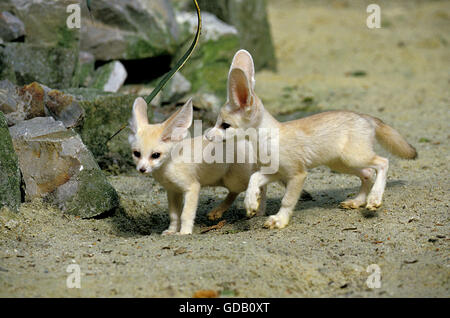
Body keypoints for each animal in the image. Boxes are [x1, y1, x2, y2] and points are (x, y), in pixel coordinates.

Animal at [128, 98, 266, 235]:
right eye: (136, 154)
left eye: (155, 155)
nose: (142, 169)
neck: (168, 165)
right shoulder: (173, 191)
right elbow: (174, 215)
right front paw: (172, 231)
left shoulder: (192, 187)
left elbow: (186, 214)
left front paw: (184, 232)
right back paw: (218, 211)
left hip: (234, 180)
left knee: (257, 185)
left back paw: (257, 208)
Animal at [207, 49, 418, 229]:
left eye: (225, 125)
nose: (208, 136)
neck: (267, 140)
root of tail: (365, 116)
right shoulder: (276, 172)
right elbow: (254, 178)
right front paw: (251, 203)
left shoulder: (297, 174)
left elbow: (287, 200)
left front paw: (279, 220)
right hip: (341, 163)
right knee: (367, 173)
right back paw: (357, 201)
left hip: (353, 158)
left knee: (383, 162)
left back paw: (374, 199)